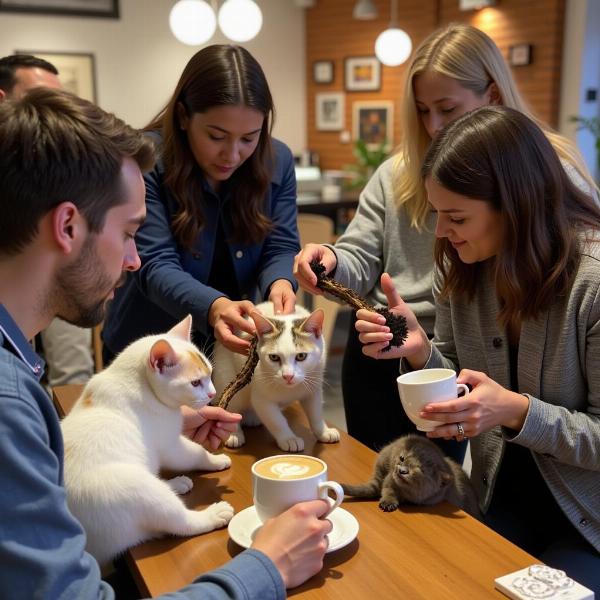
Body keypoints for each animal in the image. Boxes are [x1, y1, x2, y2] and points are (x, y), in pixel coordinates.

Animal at [61, 316, 233, 564]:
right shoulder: (172, 445)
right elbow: (196, 453)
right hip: (141, 491)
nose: (212, 393)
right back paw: (214, 514)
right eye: (195, 383)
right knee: (182, 523)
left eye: (210, 374)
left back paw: (176, 484)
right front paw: (216, 459)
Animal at [213, 302, 340, 452]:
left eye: (301, 356)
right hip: (228, 379)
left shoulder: (313, 389)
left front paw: (323, 431)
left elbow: (316, 413)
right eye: (274, 357)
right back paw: (233, 434)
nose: (288, 376)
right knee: (231, 409)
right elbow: (276, 421)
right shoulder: (262, 399)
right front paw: (289, 439)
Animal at [344, 434, 480, 516]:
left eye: (420, 469)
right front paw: (388, 502)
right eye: (402, 458)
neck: (406, 494)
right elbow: (388, 490)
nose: (402, 470)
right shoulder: (390, 479)